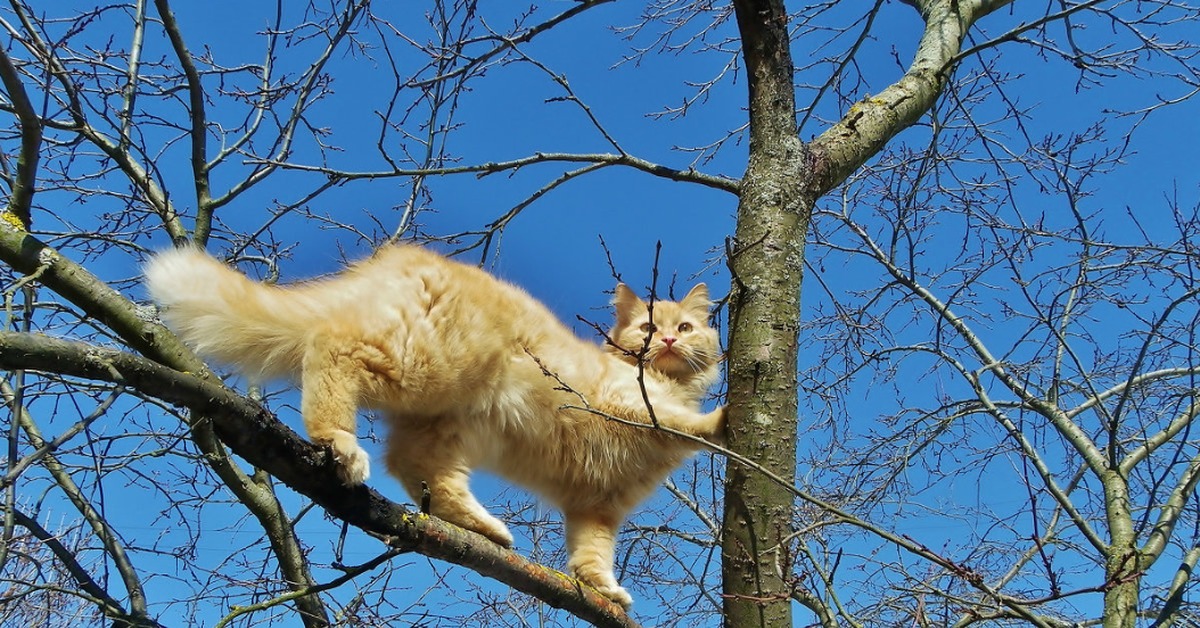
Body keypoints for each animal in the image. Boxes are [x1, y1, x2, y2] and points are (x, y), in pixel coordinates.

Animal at [140, 243, 720, 607]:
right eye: (648, 329)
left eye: (685, 327)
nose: (669, 341)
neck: (664, 381)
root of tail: (402, 255)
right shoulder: (623, 406)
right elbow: (682, 423)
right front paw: (722, 418)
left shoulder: (595, 508)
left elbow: (591, 558)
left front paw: (605, 591)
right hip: (423, 366)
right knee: (332, 346)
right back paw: (338, 443)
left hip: (447, 421)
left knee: (419, 471)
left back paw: (482, 528)